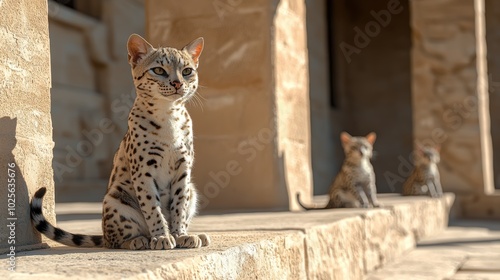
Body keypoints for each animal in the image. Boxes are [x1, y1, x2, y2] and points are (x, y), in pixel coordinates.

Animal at [29, 34, 209, 250]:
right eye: (159, 70)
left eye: (187, 71)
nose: (177, 83)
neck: (169, 115)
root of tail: (103, 234)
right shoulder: (143, 170)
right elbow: (152, 207)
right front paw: (161, 236)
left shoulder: (183, 170)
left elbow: (179, 207)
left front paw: (180, 235)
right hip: (115, 199)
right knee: (116, 240)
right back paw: (140, 240)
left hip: (193, 191)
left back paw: (193, 235)